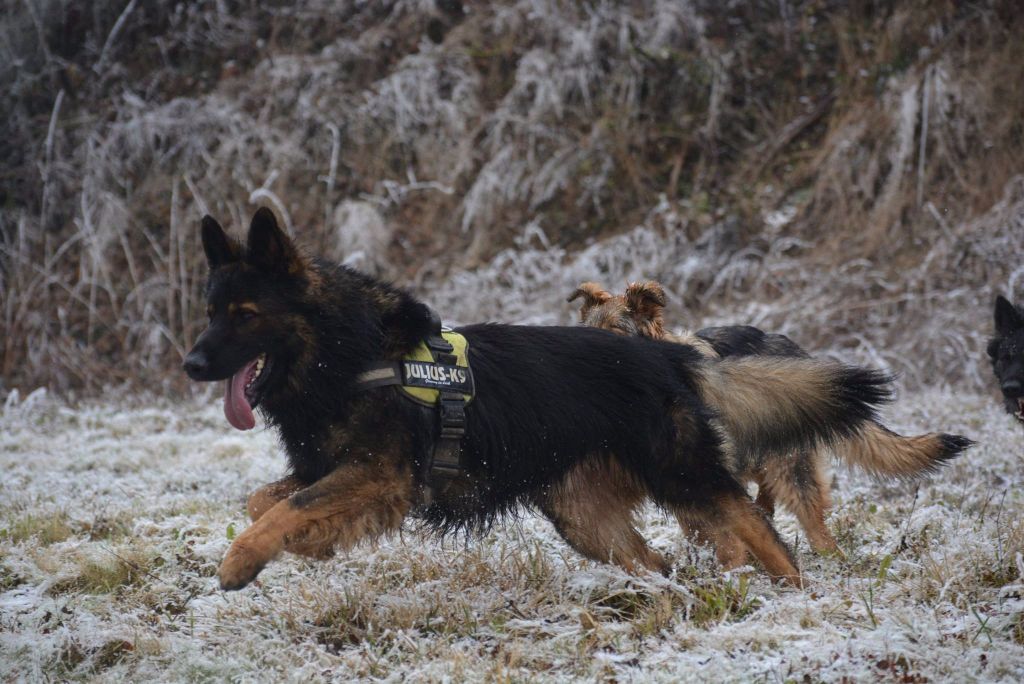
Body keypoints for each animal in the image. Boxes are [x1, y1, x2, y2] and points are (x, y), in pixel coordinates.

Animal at [183, 208, 900, 591]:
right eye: (211, 312)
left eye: (246, 316)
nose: (191, 364)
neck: (348, 352)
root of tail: (667, 352)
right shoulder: (335, 470)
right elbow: (265, 502)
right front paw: (304, 545)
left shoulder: (375, 474)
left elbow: (285, 508)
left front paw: (242, 559)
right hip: (585, 520)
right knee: (659, 560)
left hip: (681, 475)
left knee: (759, 525)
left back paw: (797, 594)